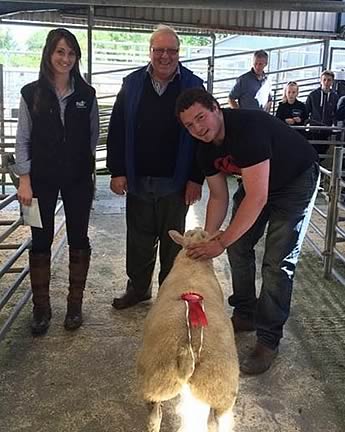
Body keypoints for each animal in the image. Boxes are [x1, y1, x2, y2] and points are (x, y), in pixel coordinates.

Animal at [136, 228, 238, 432]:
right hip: (221, 393)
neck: (194, 265)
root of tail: (188, 351)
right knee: (215, 422)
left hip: (153, 382)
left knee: (154, 417)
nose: (198, 229)